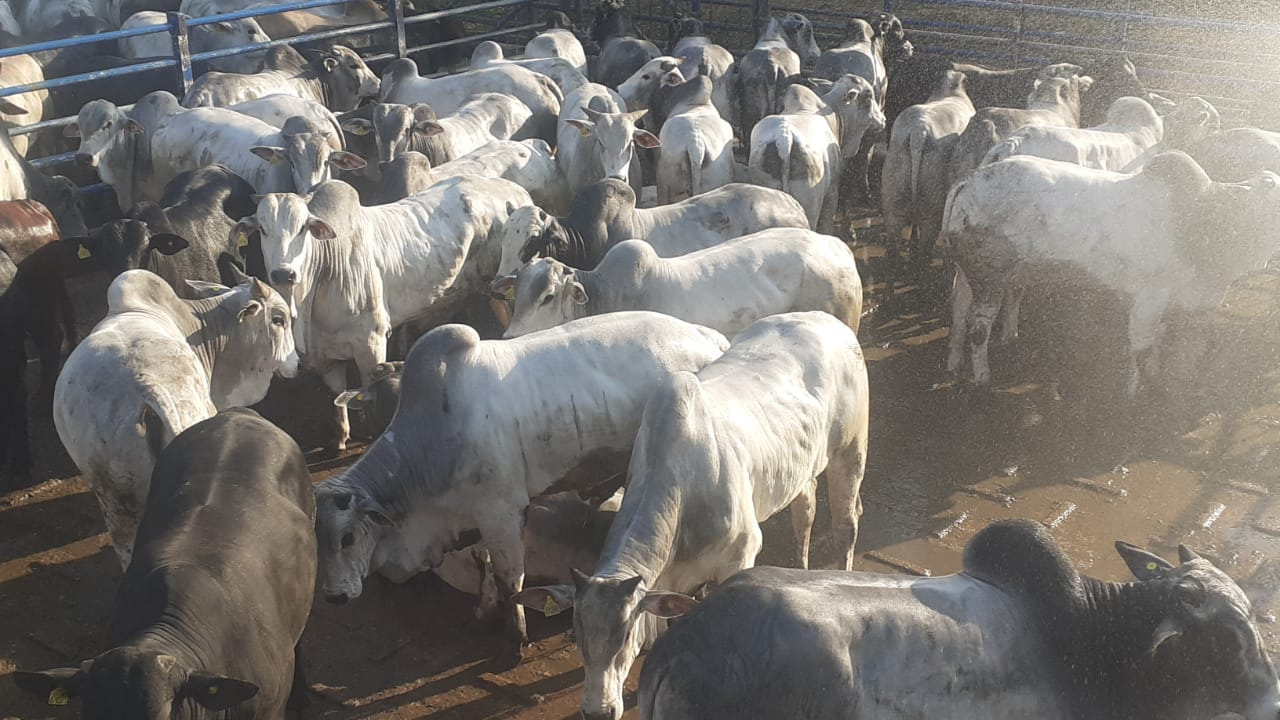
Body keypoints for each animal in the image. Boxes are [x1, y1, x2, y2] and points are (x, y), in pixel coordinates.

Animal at [519, 312, 870, 717]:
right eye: (577, 633)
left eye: (625, 634)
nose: (598, 711)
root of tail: (824, 319)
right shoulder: (672, 580)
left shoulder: (741, 553)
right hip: (800, 470)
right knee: (805, 511)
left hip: (851, 450)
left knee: (846, 523)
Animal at [942, 149, 1280, 392]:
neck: (1205, 217)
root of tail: (968, 182)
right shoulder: (1149, 298)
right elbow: (1141, 348)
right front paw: (1135, 392)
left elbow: (1157, 340)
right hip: (989, 277)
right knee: (978, 328)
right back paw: (982, 377)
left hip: (969, 274)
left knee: (958, 314)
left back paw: (955, 363)